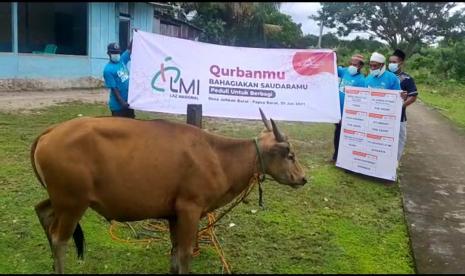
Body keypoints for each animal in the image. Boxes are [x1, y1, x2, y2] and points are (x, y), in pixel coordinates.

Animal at [32, 109, 308, 272]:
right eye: (291, 155)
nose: (303, 178)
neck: (217, 156)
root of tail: (51, 131)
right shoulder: (190, 209)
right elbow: (184, 254)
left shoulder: (174, 214)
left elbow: (175, 253)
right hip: (72, 203)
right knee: (59, 239)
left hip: (61, 199)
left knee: (42, 211)